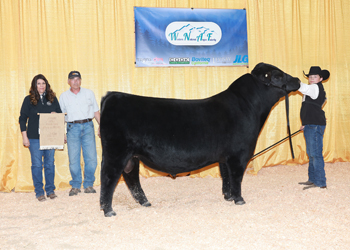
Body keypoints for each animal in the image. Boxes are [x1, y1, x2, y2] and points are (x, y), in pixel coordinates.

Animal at [99, 63, 300, 217]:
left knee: (130, 177)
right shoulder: (239, 155)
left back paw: (144, 202)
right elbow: (236, 177)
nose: (297, 80)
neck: (248, 107)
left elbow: (226, 177)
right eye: (278, 76)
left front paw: (228, 197)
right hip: (116, 152)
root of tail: (112, 95)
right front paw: (239, 199)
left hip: (131, 156)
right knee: (108, 177)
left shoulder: (225, 157)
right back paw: (108, 210)